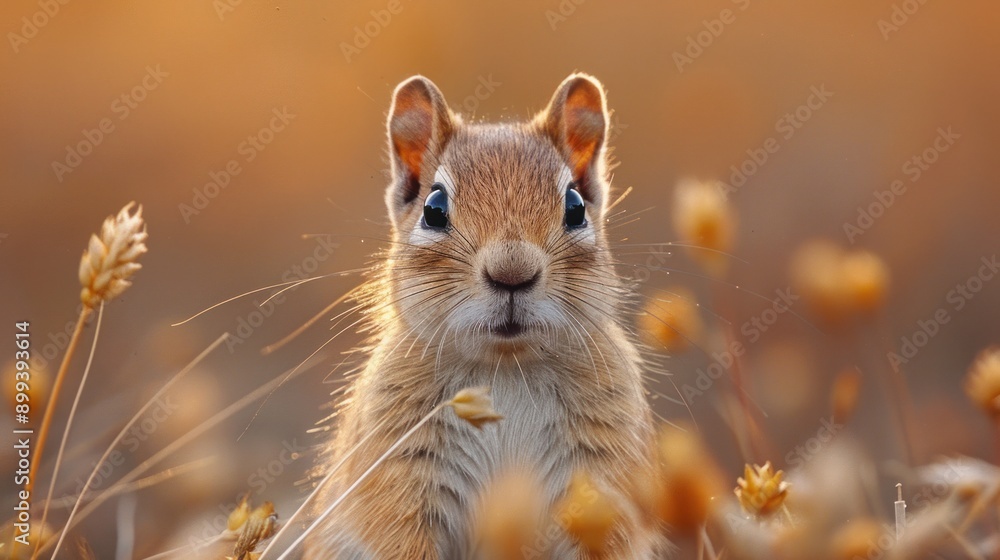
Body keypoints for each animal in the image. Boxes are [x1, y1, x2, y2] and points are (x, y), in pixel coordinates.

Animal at [305, 74, 665, 559]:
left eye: (575, 206)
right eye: (433, 209)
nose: (512, 272)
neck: (506, 367)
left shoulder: (605, 475)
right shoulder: (398, 472)